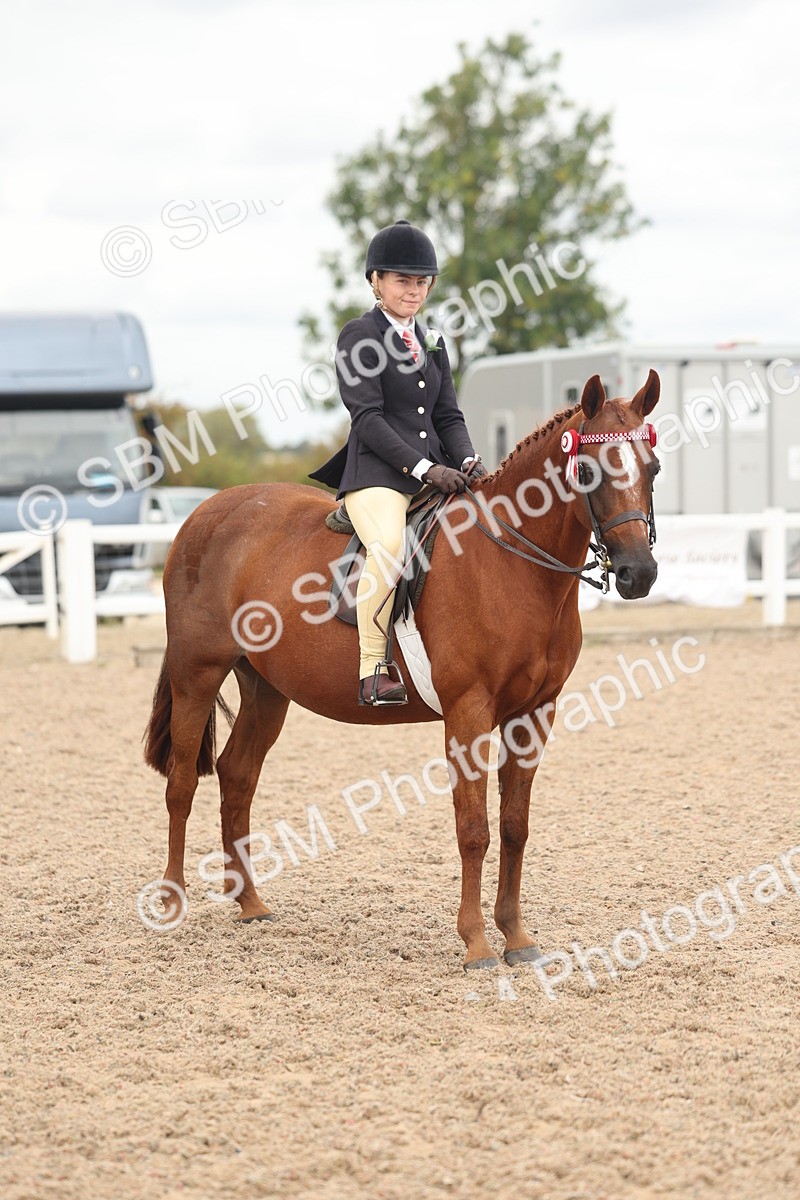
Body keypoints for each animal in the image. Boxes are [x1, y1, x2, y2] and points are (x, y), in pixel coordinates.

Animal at [144, 371, 661, 969]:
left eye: (653, 467)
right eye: (588, 470)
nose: (638, 573)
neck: (512, 564)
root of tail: (204, 513)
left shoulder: (535, 712)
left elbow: (515, 826)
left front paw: (516, 937)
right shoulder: (468, 712)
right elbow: (473, 829)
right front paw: (477, 942)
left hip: (267, 689)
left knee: (237, 776)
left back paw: (250, 903)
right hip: (197, 675)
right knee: (182, 782)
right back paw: (171, 903)